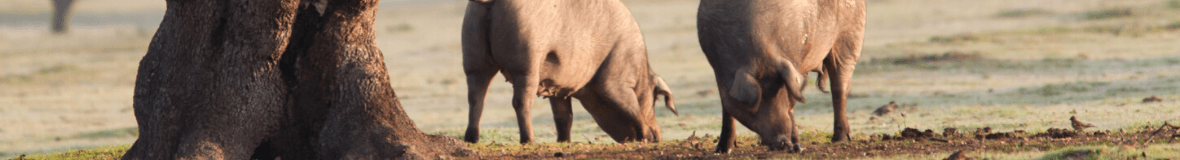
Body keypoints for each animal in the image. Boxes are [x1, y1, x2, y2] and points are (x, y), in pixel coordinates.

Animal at [462, 0, 684, 143]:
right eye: (654, 99)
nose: (658, 137)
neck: (639, 73)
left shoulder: (556, 86)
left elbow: (564, 116)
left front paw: (564, 143)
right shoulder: (615, 80)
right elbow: (630, 106)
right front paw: (645, 136)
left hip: (473, 56)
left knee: (476, 99)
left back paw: (471, 139)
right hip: (526, 61)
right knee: (521, 102)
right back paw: (529, 141)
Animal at [689, 0, 868, 152]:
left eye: (782, 92)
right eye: (756, 103)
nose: (782, 143)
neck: (759, 56)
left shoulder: (794, 64)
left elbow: (791, 107)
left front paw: (797, 147)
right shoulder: (717, 69)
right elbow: (726, 109)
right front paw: (722, 150)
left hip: (851, 37)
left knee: (839, 88)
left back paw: (840, 139)